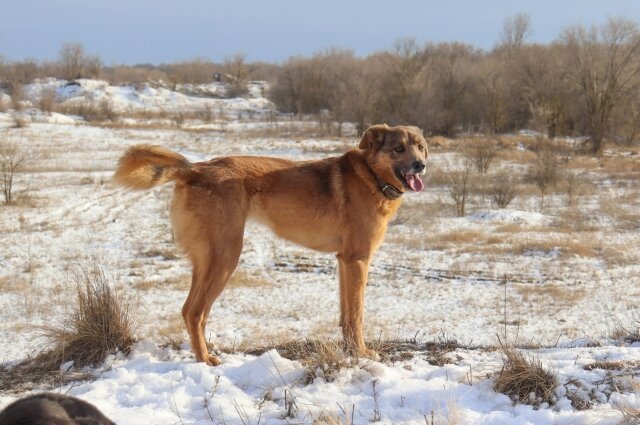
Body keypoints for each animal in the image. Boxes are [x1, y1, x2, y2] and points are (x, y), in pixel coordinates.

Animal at [113, 123, 428, 364]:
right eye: (398, 149)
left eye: (420, 146)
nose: (421, 165)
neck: (371, 177)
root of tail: (195, 169)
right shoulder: (358, 260)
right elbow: (358, 314)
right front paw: (361, 353)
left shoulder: (344, 261)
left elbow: (346, 315)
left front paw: (350, 350)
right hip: (225, 257)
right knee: (195, 312)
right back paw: (205, 360)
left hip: (206, 261)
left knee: (189, 311)